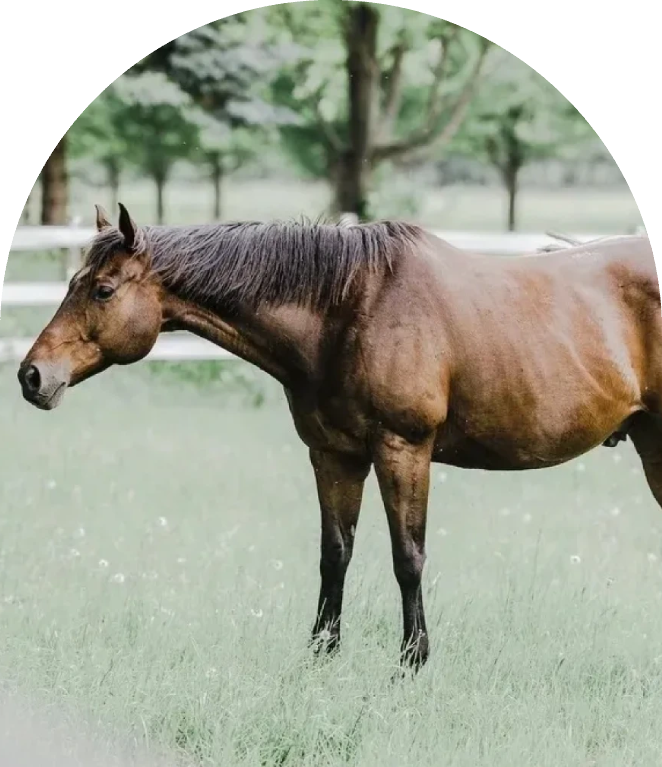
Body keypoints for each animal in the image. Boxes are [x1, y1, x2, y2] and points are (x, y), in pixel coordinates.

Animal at [16, 203, 660, 671]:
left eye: (102, 290)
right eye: (75, 282)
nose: (32, 376)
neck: (351, 305)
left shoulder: (404, 449)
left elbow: (407, 557)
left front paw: (412, 662)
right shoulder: (333, 454)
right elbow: (335, 553)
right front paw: (321, 653)